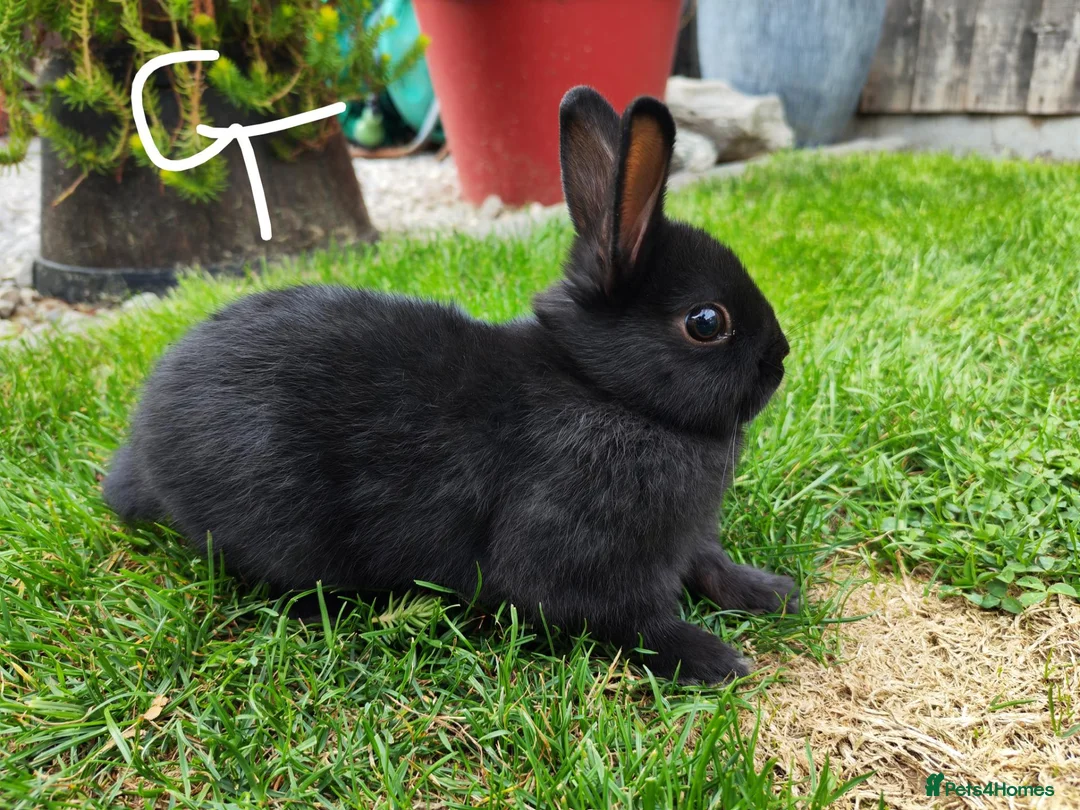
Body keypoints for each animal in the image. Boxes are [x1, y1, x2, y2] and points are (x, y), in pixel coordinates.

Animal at [103, 86, 797, 684]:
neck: (603, 390)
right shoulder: (579, 561)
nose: (783, 358)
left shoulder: (687, 541)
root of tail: (147, 436)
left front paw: (772, 592)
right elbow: (632, 619)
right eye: (707, 322)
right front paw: (714, 658)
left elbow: (709, 566)